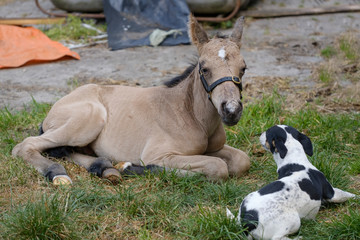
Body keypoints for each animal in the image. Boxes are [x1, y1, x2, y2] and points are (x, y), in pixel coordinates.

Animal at [226, 125, 356, 240]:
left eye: (267, 132)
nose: (261, 133)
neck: (295, 161)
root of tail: (247, 221)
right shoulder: (332, 193)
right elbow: (349, 194)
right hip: (294, 220)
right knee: (277, 238)